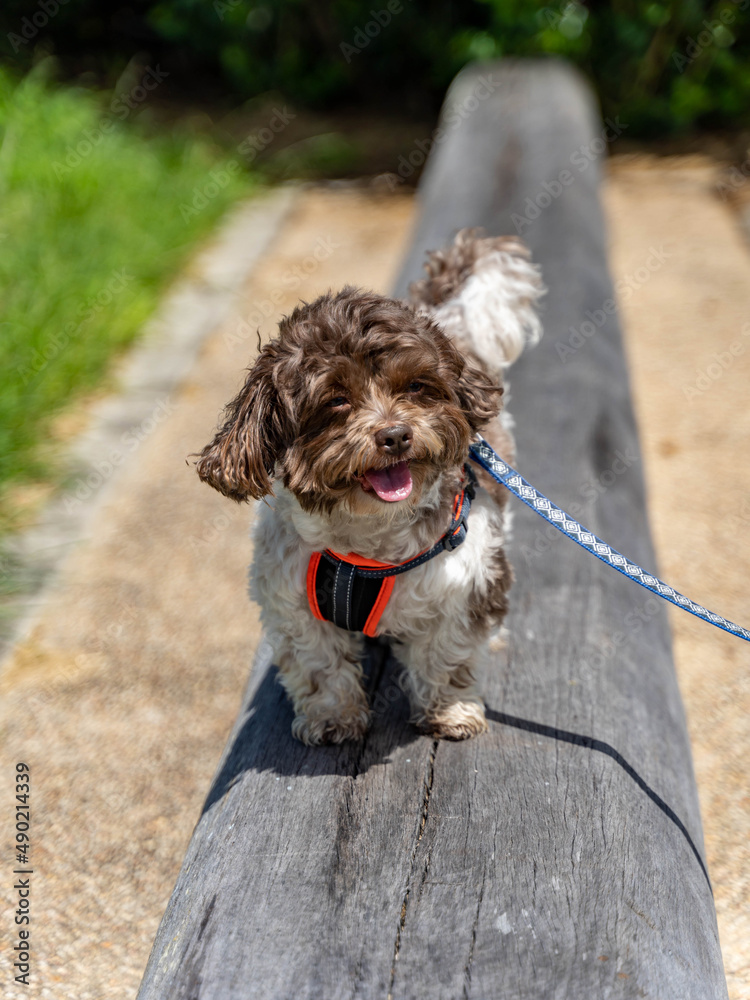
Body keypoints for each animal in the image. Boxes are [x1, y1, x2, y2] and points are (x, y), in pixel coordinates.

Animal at [197, 229, 544, 744]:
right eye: (337, 400)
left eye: (415, 386)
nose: (395, 435)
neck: (368, 543)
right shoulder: (292, 603)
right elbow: (320, 666)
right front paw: (333, 718)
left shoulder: (460, 587)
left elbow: (447, 657)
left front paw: (451, 711)